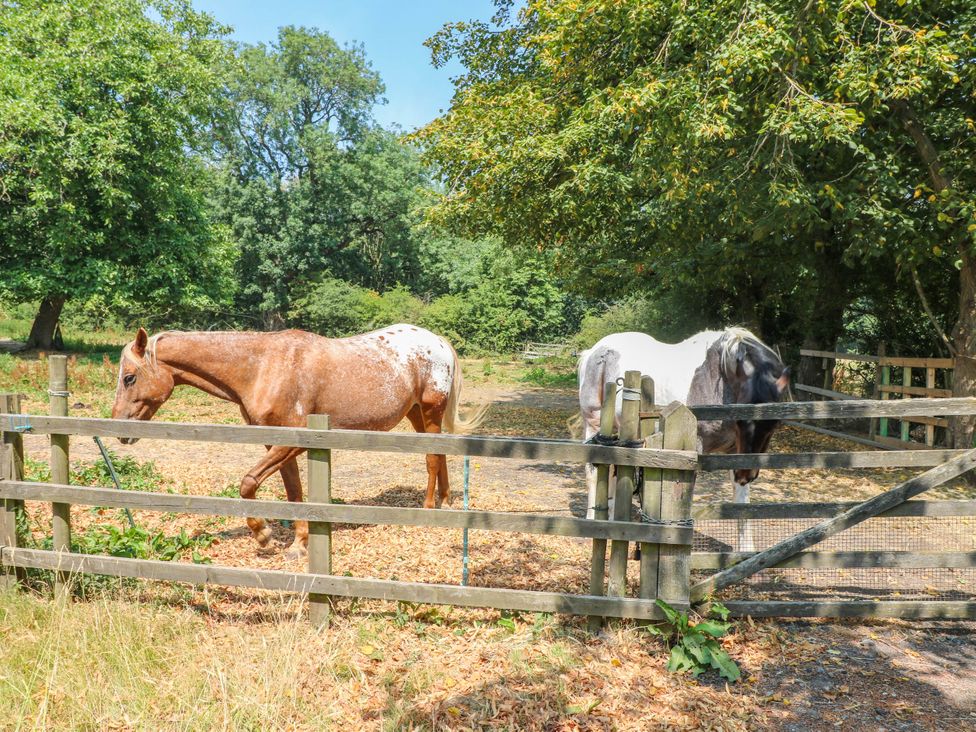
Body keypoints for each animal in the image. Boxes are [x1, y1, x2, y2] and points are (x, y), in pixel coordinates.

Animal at [111, 325, 488, 559]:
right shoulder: (275, 446)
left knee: (432, 458)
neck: (262, 367)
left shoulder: (292, 442)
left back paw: (428, 509)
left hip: (430, 410)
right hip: (416, 415)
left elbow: (248, 483)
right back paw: (445, 503)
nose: (119, 428)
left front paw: (263, 534)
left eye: (129, 378)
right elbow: (293, 493)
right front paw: (298, 544)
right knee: (439, 455)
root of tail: (437, 341)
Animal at [577, 327, 790, 549]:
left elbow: (741, 499)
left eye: (774, 423)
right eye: (742, 419)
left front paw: (746, 548)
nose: (747, 475)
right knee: (593, 470)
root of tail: (596, 350)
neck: (716, 378)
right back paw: (593, 520)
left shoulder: (736, 453)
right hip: (593, 424)